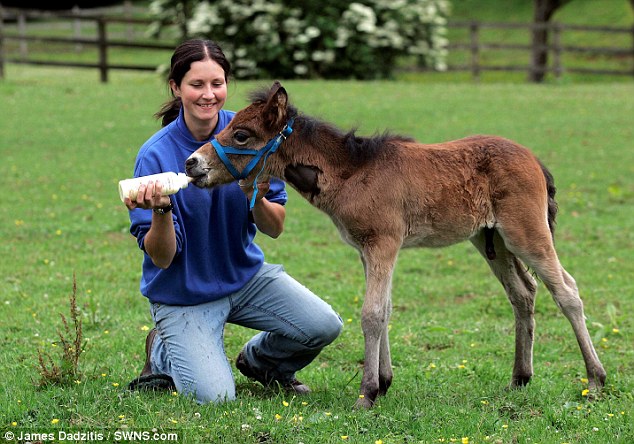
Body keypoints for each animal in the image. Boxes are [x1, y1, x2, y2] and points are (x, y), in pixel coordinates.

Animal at [184, 81, 604, 408]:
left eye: (241, 134)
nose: (192, 164)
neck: (353, 172)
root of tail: (533, 159)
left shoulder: (383, 244)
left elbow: (371, 314)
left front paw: (367, 392)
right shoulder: (368, 251)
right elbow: (383, 310)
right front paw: (384, 383)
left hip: (526, 233)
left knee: (566, 290)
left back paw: (595, 379)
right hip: (493, 241)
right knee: (524, 293)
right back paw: (520, 378)